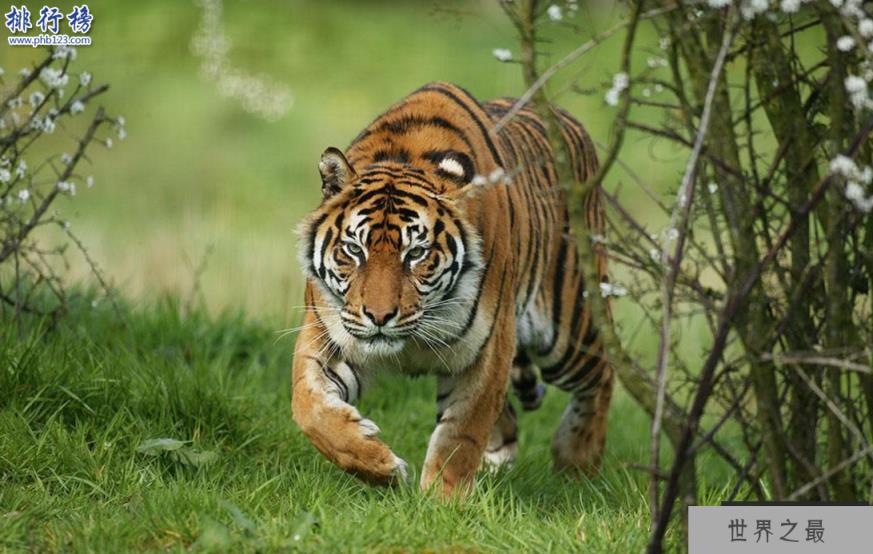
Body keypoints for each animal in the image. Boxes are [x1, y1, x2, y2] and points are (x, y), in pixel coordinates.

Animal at [290, 82, 608, 496]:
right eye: (354, 249)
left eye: (416, 253)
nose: (379, 316)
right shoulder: (329, 336)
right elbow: (309, 408)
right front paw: (380, 466)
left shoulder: (486, 351)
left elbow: (461, 436)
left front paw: (443, 501)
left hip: (569, 331)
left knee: (606, 370)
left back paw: (578, 460)